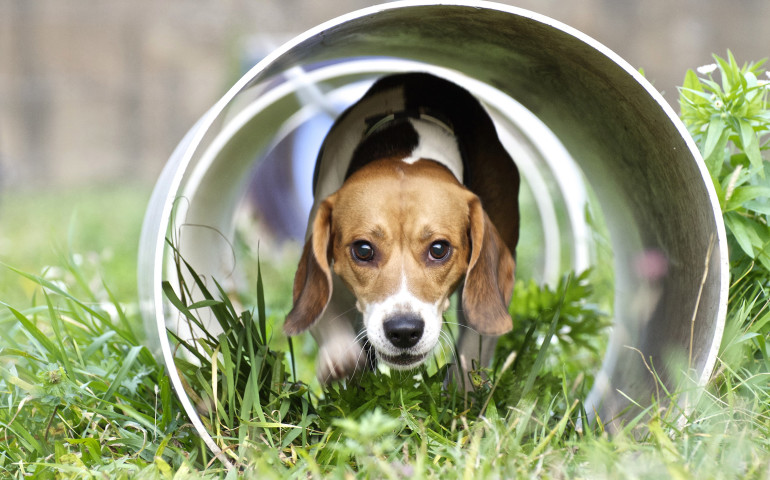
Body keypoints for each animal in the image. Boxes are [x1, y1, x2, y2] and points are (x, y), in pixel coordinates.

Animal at [284, 72, 520, 387]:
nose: (404, 331)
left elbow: (475, 338)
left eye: (439, 249)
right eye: (363, 250)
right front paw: (341, 356)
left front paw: (464, 389)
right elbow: (321, 308)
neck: (407, 147)